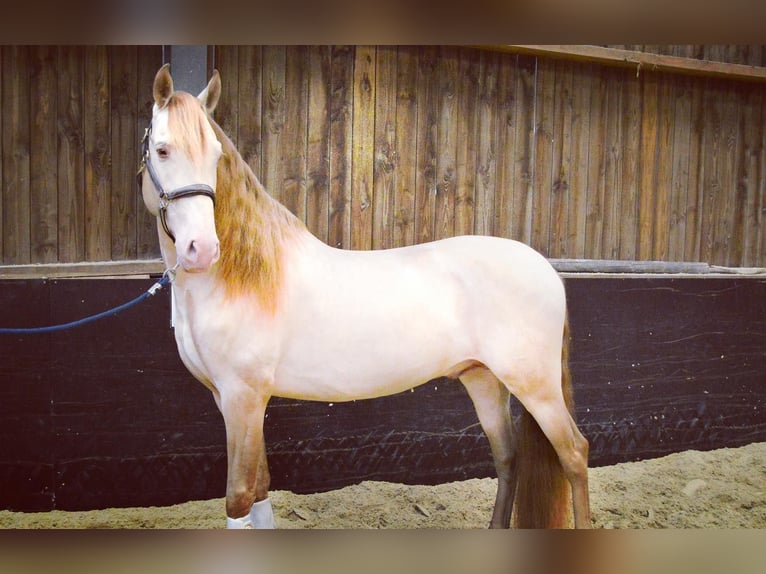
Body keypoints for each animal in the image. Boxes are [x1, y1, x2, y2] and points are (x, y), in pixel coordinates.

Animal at [139, 64, 591, 529]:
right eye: (161, 150)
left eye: (215, 157)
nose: (202, 249)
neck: (245, 276)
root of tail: (546, 270)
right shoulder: (230, 399)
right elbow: (261, 490)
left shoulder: (243, 398)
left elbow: (240, 497)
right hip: (483, 379)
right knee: (507, 456)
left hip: (536, 386)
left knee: (574, 454)